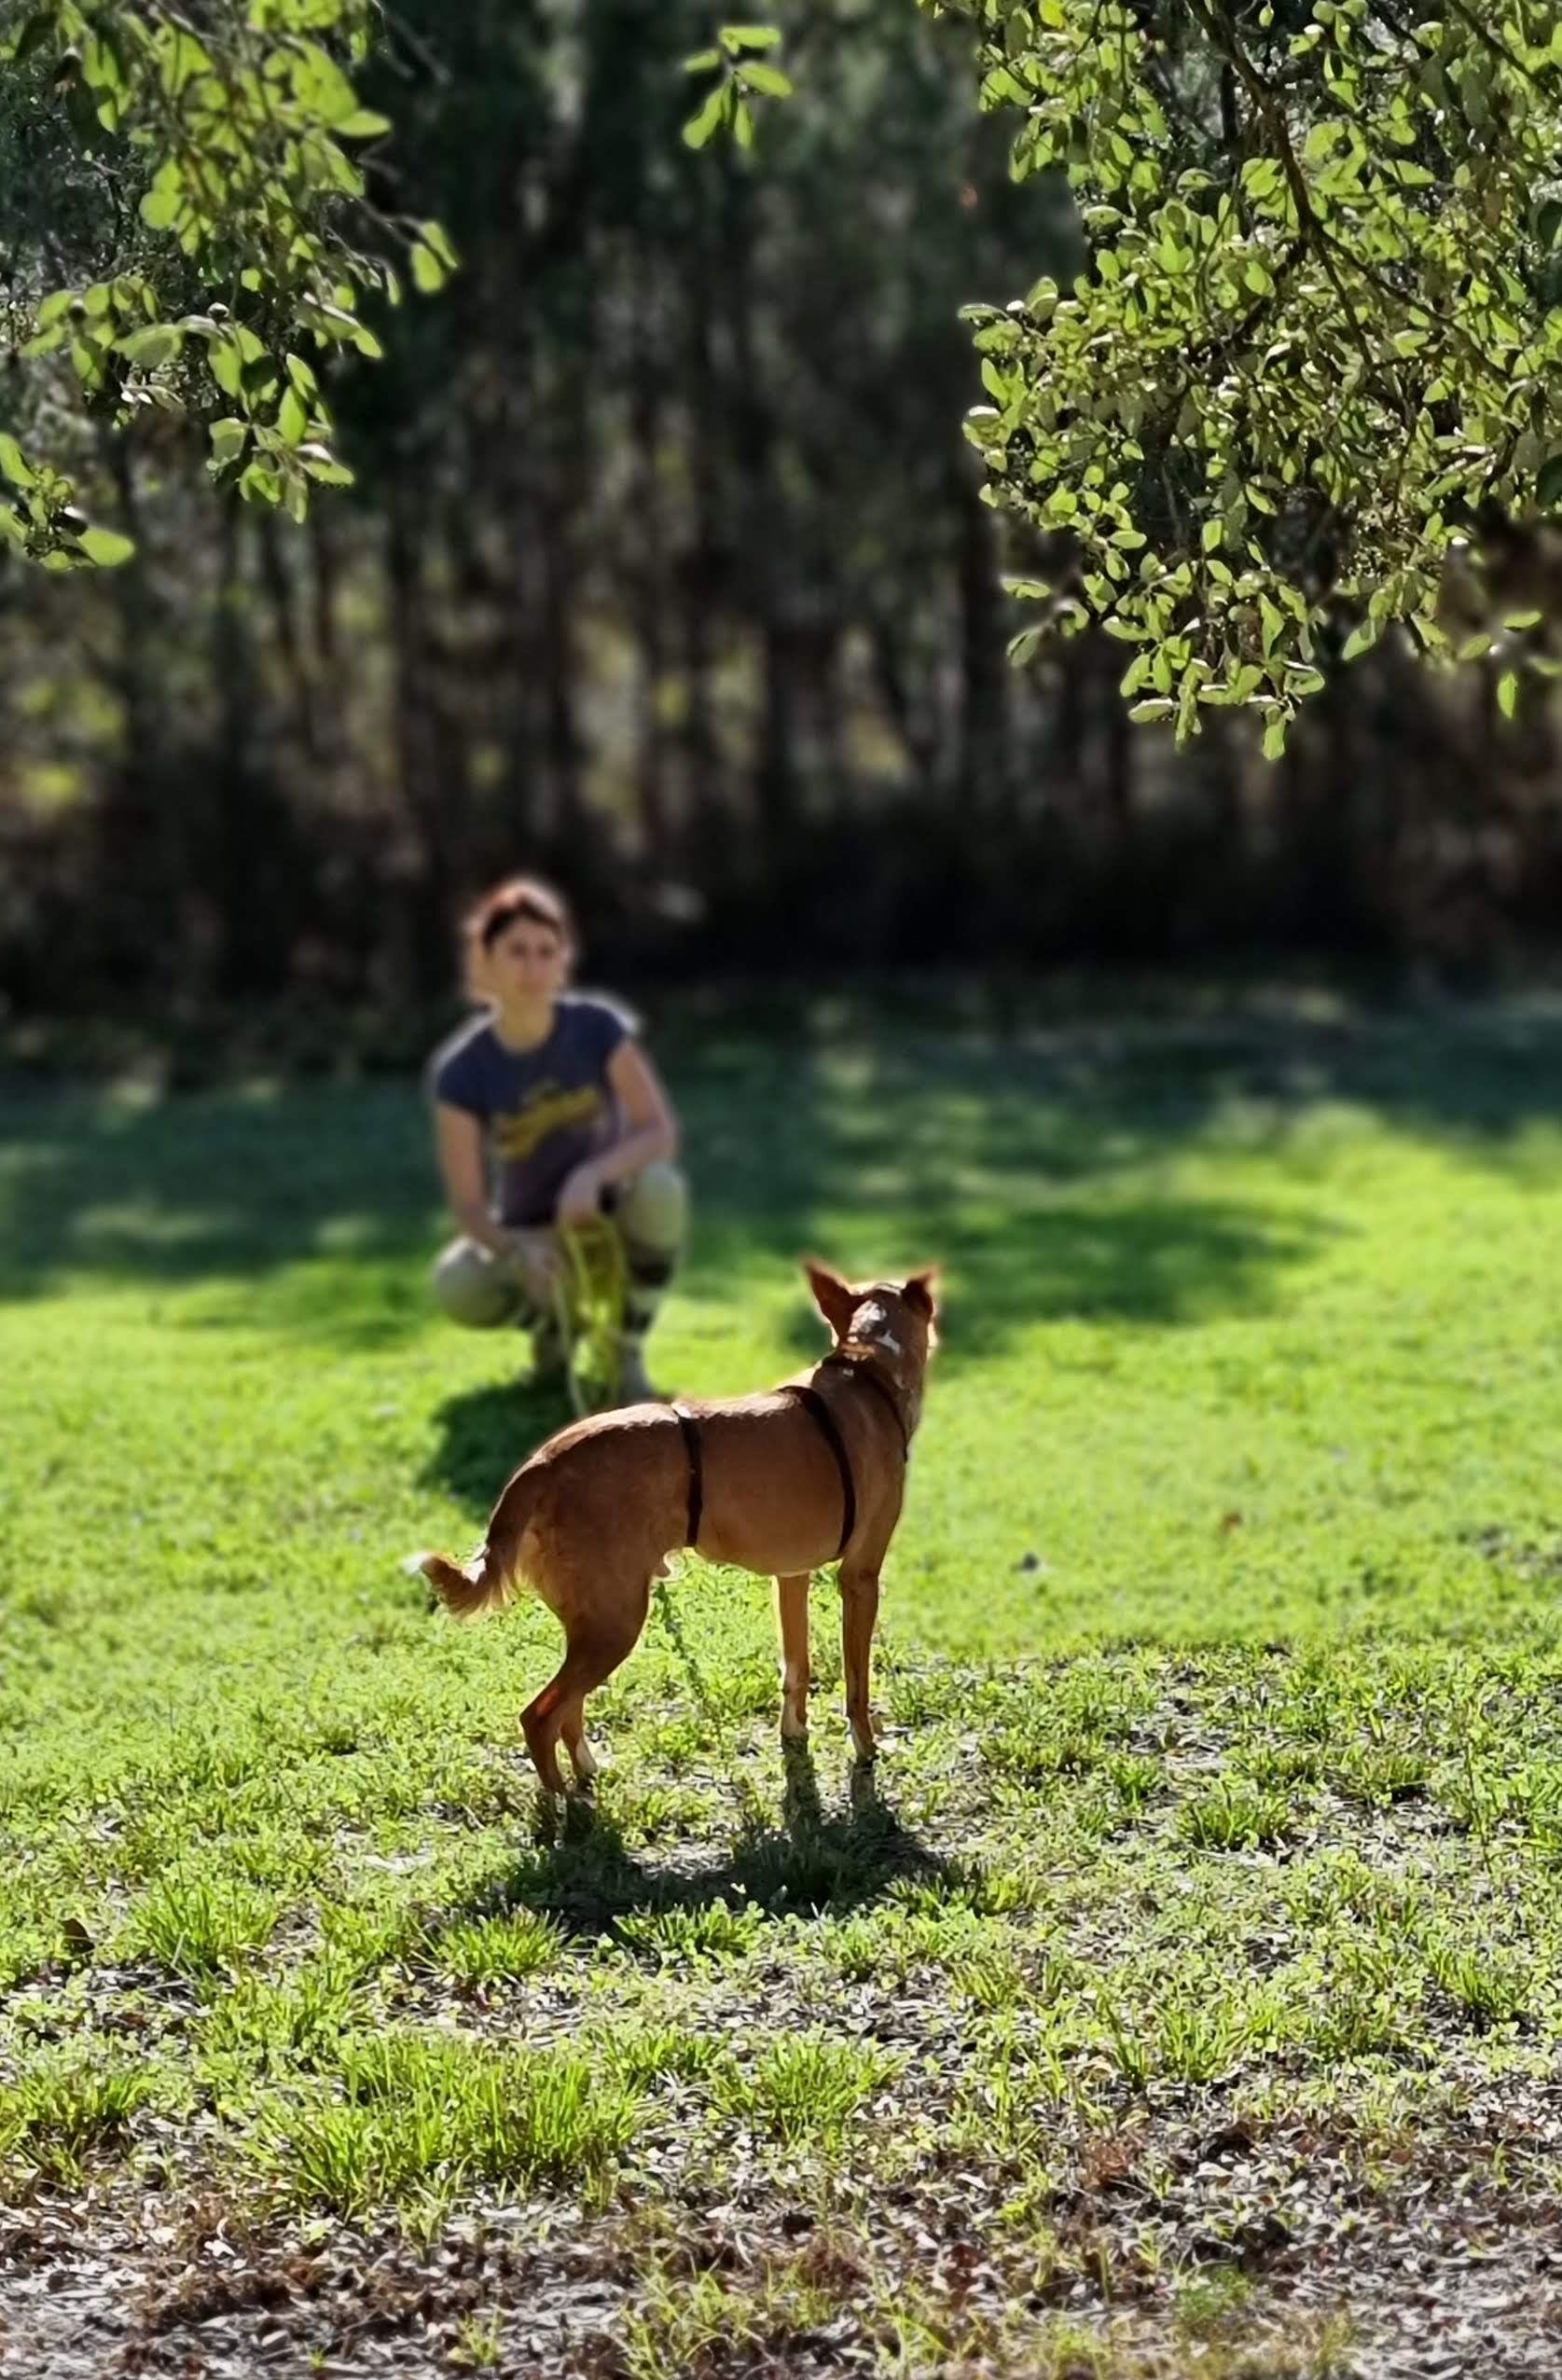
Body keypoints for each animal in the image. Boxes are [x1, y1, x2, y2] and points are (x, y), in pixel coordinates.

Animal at [419, 1266, 938, 1790]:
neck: (868, 1368)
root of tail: (541, 1464)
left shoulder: (791, 1576)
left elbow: (796, 1668)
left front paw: (795, 1735)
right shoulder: (859, 1578)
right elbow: (857, 1687)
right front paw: (866, 1750)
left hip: (594, 1625)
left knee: (568, 1710)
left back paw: (588, 1772)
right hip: (615, 1623)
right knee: (541, 1715)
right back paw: (564, 1802)